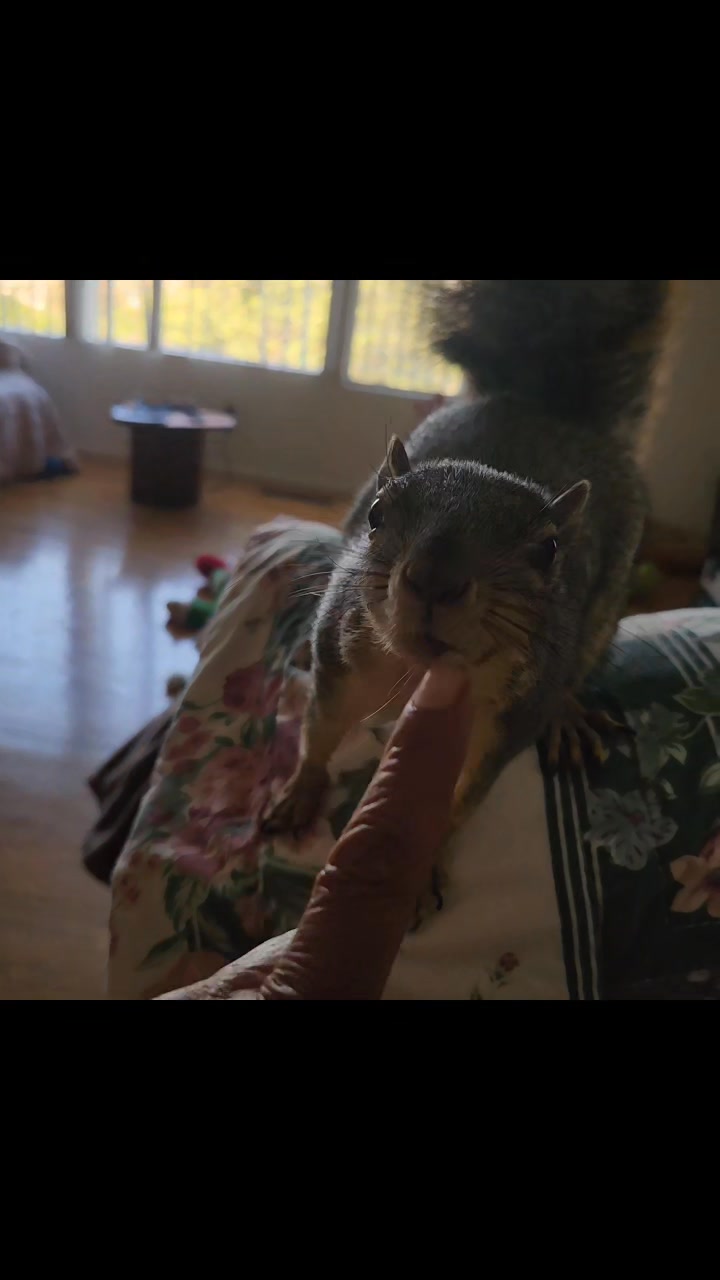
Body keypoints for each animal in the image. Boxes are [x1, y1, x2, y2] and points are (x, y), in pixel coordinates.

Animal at [262, 280, 676, 886]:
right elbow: (320, 730)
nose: (434, 580)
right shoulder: (339, 661)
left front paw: (424, 864)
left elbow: (462, 798)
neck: (415, 674)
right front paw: (299, 793)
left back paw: (568, 713)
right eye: (378, 515)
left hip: (600, 616)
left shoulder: (503, 727)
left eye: (549, 550)